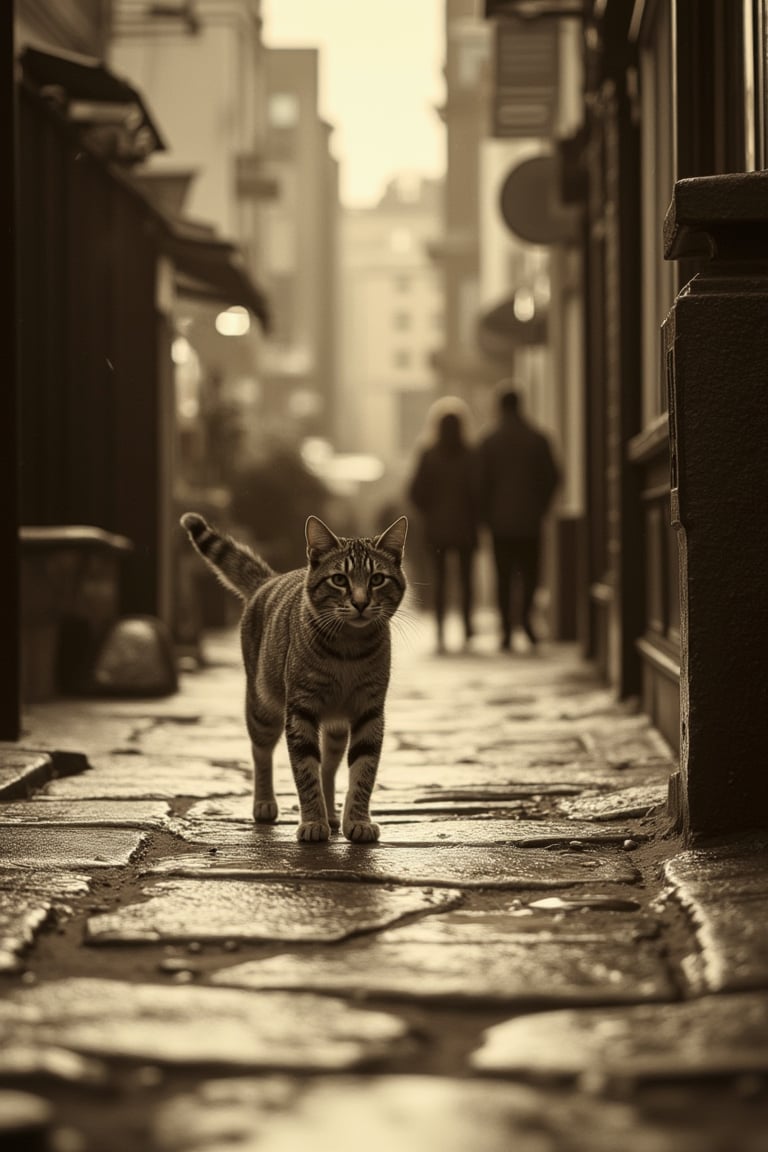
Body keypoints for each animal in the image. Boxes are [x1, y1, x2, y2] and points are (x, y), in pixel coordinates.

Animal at [180, 513, 407, 847]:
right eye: (340, 579)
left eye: (377, 579)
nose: (360, 602)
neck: (349, 648)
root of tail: (267, 580)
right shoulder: (300, 710)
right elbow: (305, 772)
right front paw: (312, 821)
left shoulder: (370, 711)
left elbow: (363, 771)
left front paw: (357, 820)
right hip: (262, 707)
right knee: (261, 752)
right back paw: (265, 803)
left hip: (336, 728)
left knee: (329, 767)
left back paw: (331, 812)